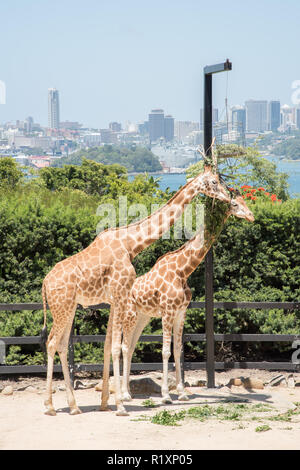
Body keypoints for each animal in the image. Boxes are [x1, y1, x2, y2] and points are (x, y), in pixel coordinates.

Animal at [42, 164, 230, 414]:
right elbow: (116, 347)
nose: (228, 197)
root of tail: (45, 282)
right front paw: (121, 404)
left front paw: (105, 402)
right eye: (214, 181)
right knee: (51, 343)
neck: (130, 244)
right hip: (61, 307)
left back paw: (74, 407)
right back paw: (50, 406)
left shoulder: (114, 299)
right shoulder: (121, 294)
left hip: (69, 307)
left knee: (62, 345)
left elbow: (108, 346)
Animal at [118, 196, 254, 406]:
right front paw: (166, 395)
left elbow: (178, 350)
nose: (251, 216)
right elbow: (165, 351)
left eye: (244, 200)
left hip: (143, 317)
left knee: (131, 347)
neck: (182, 271)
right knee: (125, 347)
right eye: (235, 204)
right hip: (130, 315)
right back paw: (124, 395)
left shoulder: (181, 312)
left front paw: (181, 393)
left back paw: (130, 393)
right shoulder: (167, 311)